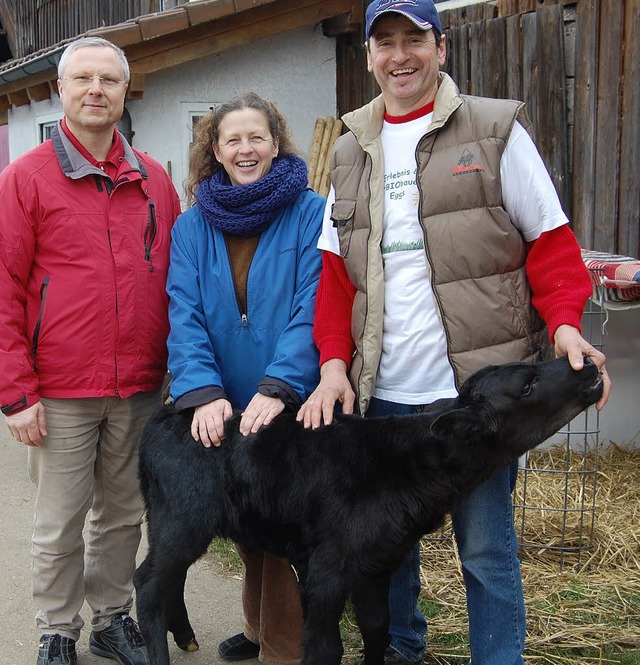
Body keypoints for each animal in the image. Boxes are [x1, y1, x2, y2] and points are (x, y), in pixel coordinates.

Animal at [134, 358, 600, 664]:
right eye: (527, 385)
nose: (590, 368)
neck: (404, 462)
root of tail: (167, 412)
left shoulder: (378, 561)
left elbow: (377, 627)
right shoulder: (327, 566)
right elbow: (326, 647)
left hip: (174, 522)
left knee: (163, 578)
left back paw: (186, 636)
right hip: (182, 518)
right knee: (150, 584)